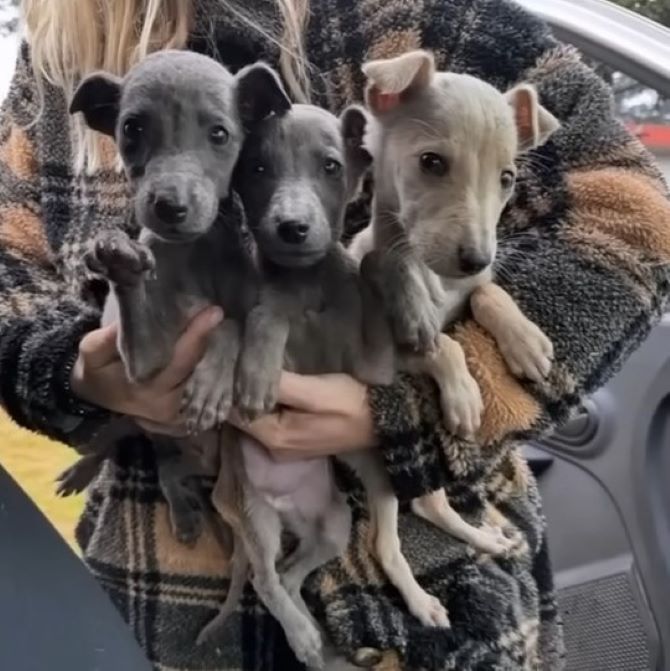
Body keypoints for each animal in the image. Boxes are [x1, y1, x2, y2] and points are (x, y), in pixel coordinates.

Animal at [56, 51, 290, 544]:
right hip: (140, 421)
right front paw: (119, 257)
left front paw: (210, 386)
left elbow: (229, 322)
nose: (170, 206)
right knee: (128, 443)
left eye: (219, 133)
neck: (196, 251)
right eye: (131, 128)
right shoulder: (147, 362)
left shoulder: (248, 309)